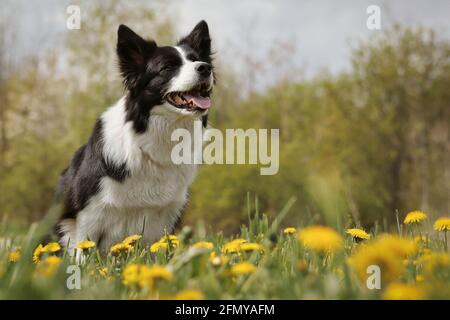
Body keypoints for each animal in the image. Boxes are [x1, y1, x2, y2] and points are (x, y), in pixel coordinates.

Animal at [54, 21, 214, 258]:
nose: (205, 68)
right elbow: (83, 251)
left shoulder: (166, 215)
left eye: (196, 60)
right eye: (167, 67)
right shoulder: (88, 214)